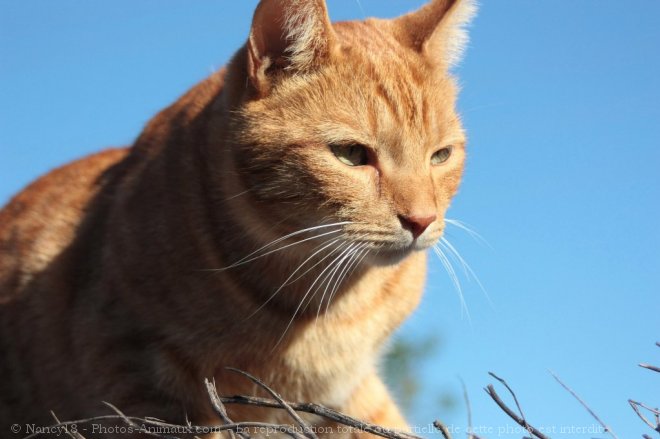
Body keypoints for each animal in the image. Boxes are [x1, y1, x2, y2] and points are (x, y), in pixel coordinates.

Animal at [0, 0, 474, 436]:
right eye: (352, 154)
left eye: (440, 155)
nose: (422, 219)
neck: (329, 301)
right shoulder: (139, 374)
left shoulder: (348, 394)